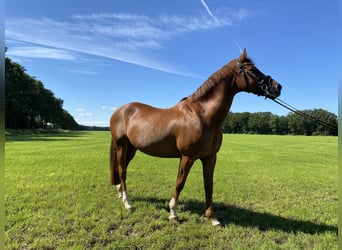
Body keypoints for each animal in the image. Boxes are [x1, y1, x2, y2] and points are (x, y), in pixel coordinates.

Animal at [109, 49, 280, 227]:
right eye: (252, 70)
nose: (277, 87)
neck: (202, 115)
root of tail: (120, 110)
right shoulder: (187, 157)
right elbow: (180, 183)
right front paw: (173, 213)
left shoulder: (210, 157)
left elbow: (208, 185)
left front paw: (212, 218)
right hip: (121, 146)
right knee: (122, 171)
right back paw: (128, 204)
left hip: (132, 149)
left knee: (122, 170)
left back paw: (121, 195)